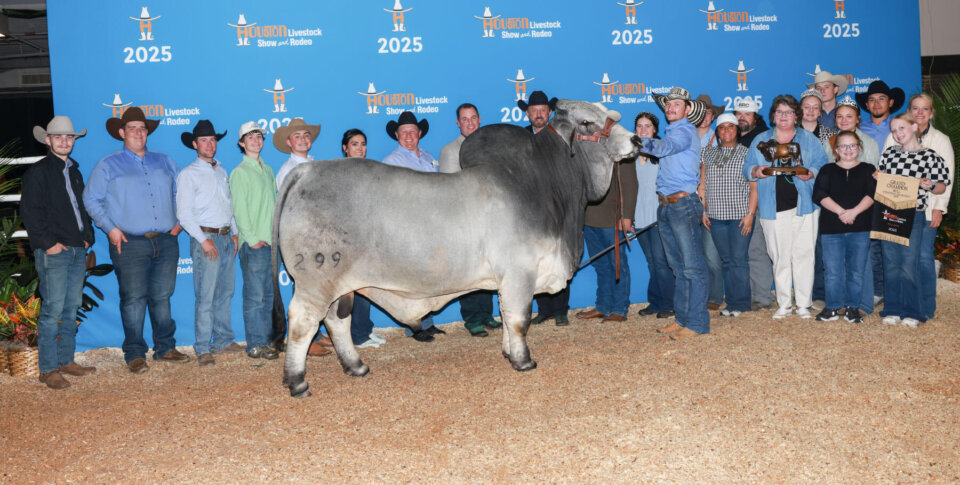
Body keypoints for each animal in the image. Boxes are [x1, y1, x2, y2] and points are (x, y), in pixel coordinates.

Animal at [271, 100, 642, 397]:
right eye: (587, 123)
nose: (637, 140)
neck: (548, 184)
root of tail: (306, 171)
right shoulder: (520, 272)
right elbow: (519, 318)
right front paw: (523, 360)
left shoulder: (507, 280)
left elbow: (505, 315)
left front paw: (509, 352)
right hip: (315, 282)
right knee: (303, 323)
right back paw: (298, 381)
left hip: (341, 286)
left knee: (337, 321)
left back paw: (356, 366)